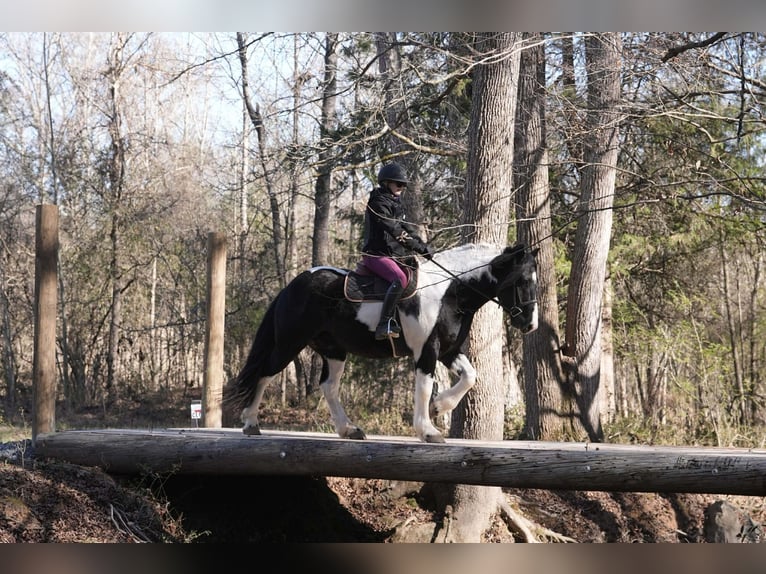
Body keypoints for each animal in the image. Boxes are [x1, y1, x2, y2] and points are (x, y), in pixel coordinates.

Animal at [228, 241, 539, 444]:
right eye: (523, 280)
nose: (531, 324)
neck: (449, 293)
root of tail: (293, 285)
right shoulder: (426, 351)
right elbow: (424, 387)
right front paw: (428, 430)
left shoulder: (449, 350)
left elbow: (470, 377)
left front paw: (440, 407)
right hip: (289, 343)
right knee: (265, 374)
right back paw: (251, 422)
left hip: (334, 350)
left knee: (328, 386)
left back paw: (349, 430)